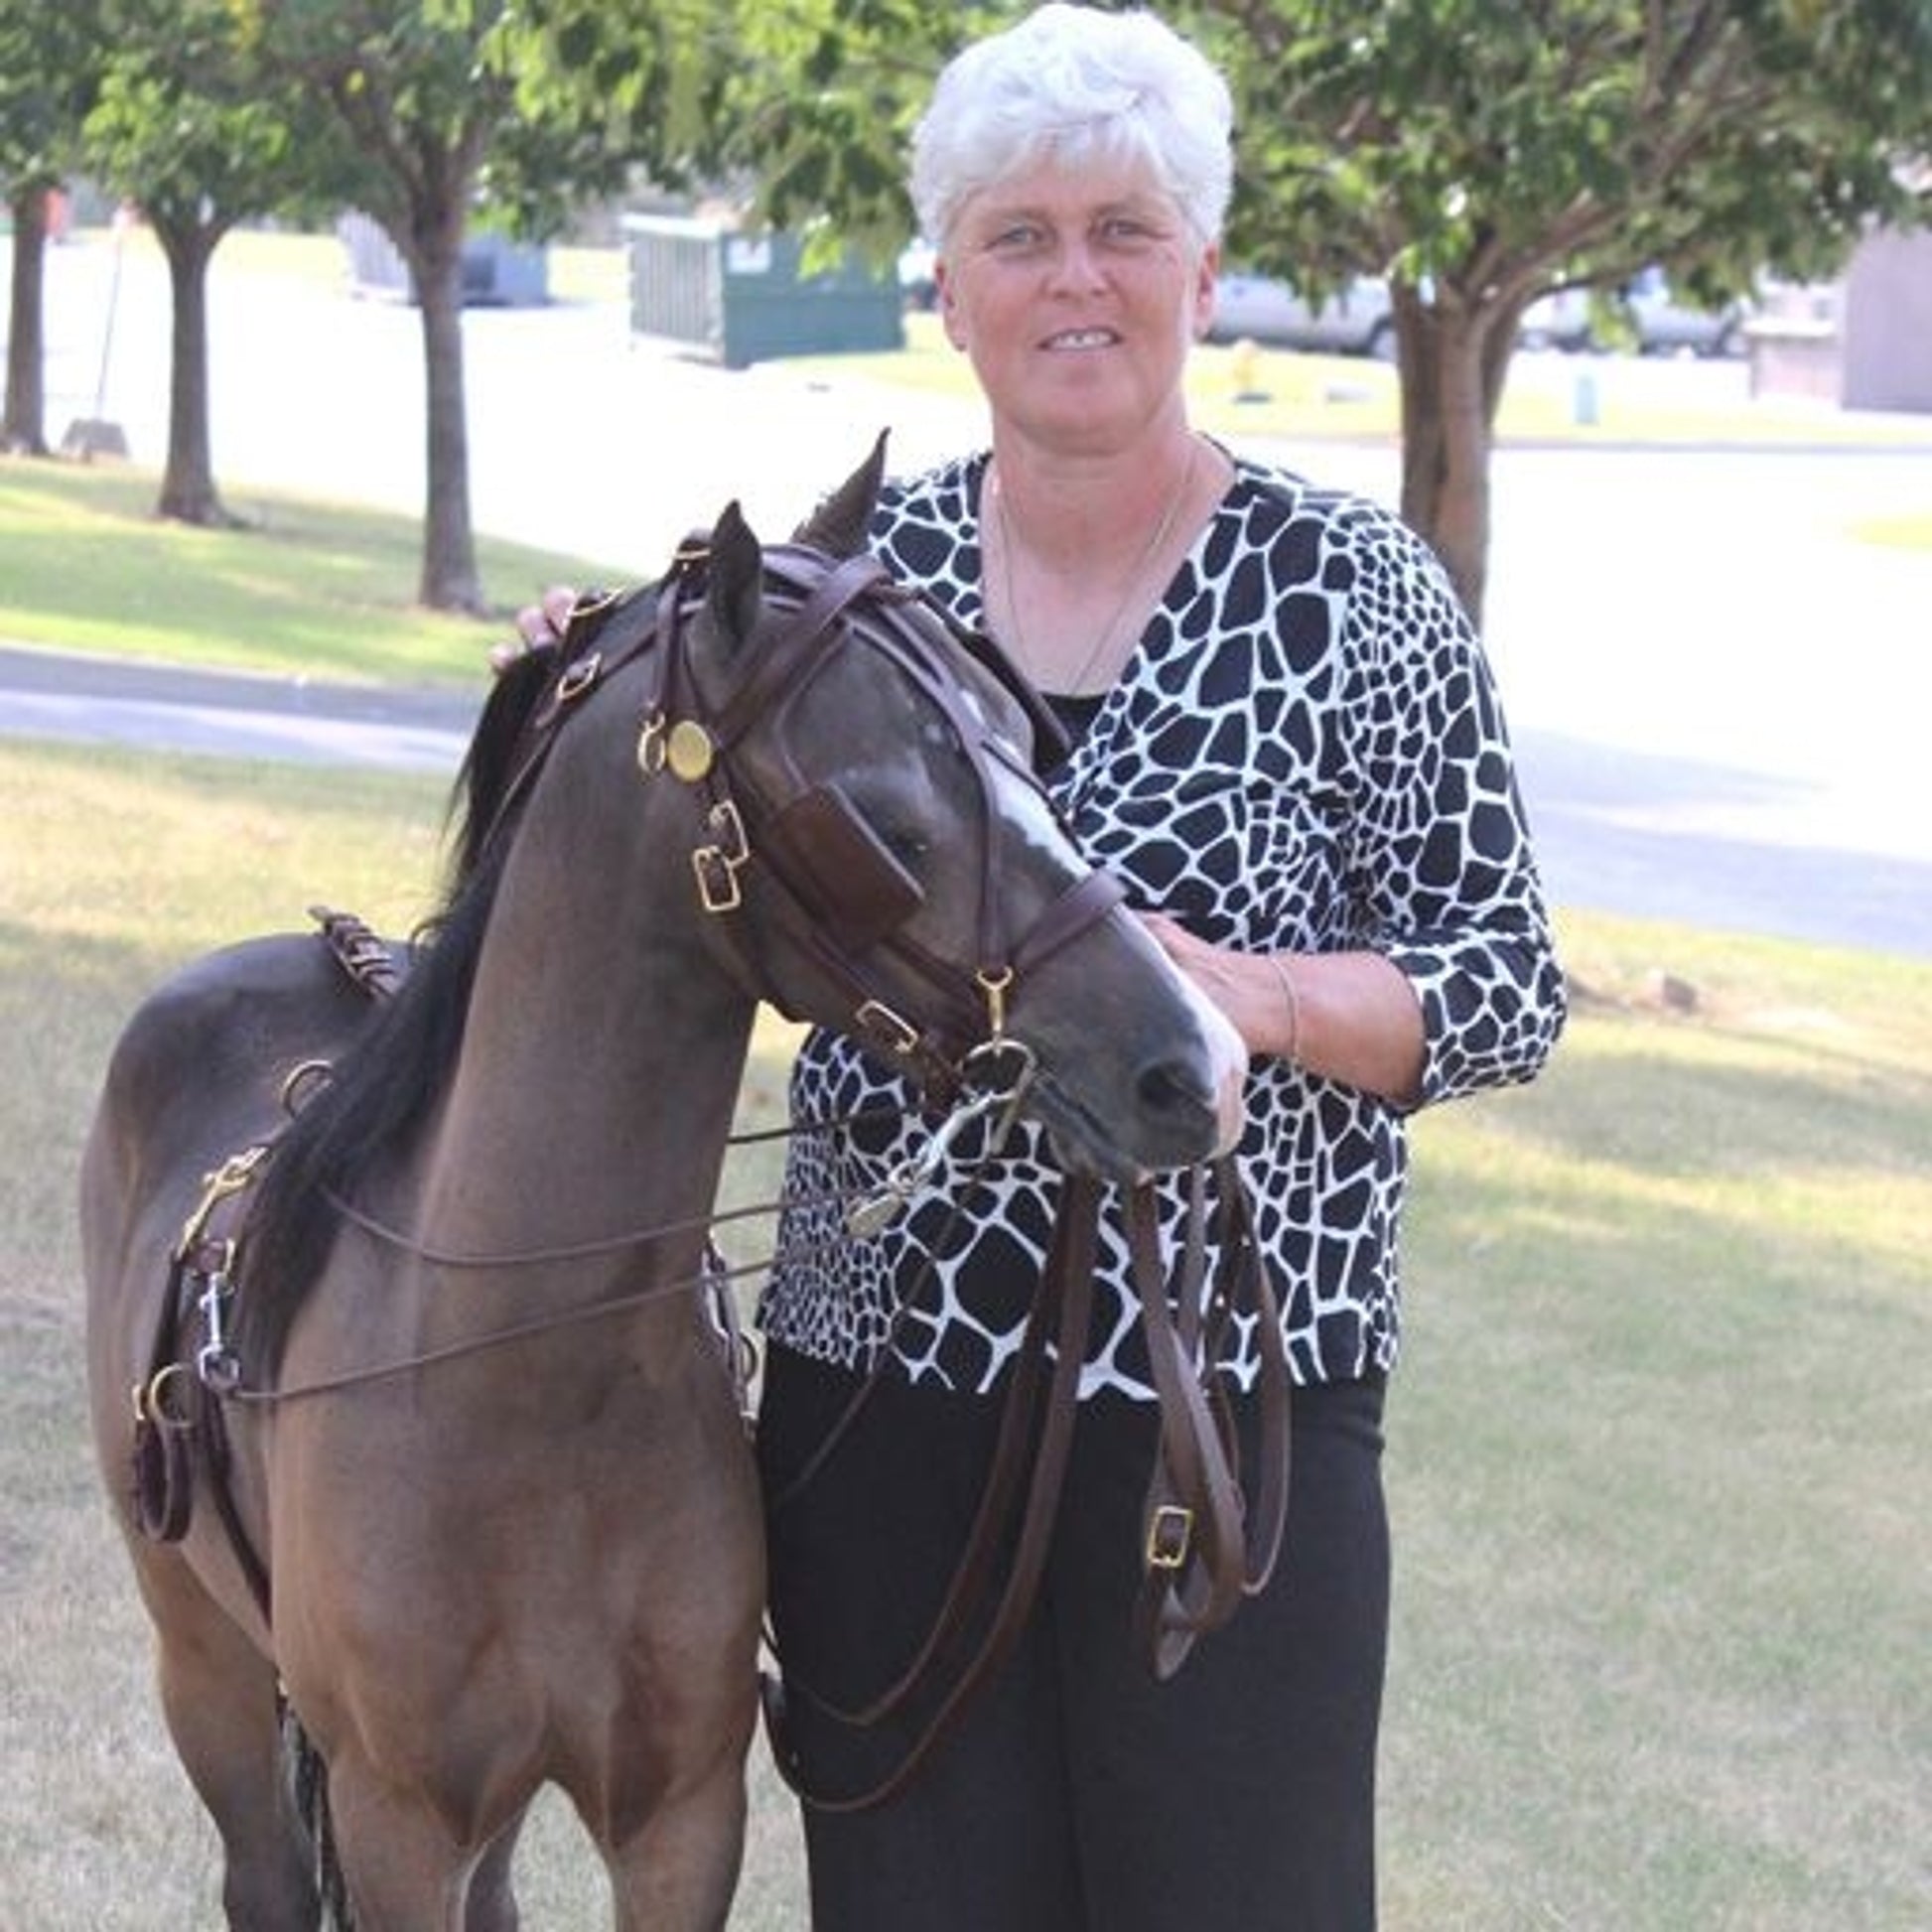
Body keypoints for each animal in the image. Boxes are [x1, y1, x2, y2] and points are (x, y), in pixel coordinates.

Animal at [80, 443, 1248, 1930]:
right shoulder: (397, 1818)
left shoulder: (681, 1814)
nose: (1193, 1062)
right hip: (207, 1668)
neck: (529, 1372)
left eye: (1023, 743)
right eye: (884, 823)